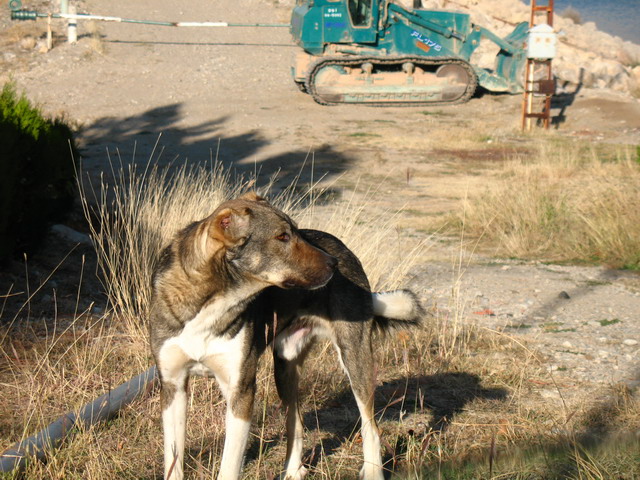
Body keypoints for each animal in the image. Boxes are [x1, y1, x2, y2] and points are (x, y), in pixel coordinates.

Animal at [148, 193, 422, 478]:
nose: (334, 264)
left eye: (297, 232)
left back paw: (372, 470)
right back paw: (293, 470)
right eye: (282, 236)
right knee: (296, 422)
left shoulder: (240, 391)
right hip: (284, 366)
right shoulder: (173, 386)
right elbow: (173, 461)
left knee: (370, 425)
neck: (211, 300)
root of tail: (344, 248)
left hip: (355, 358)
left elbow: (229, 466)